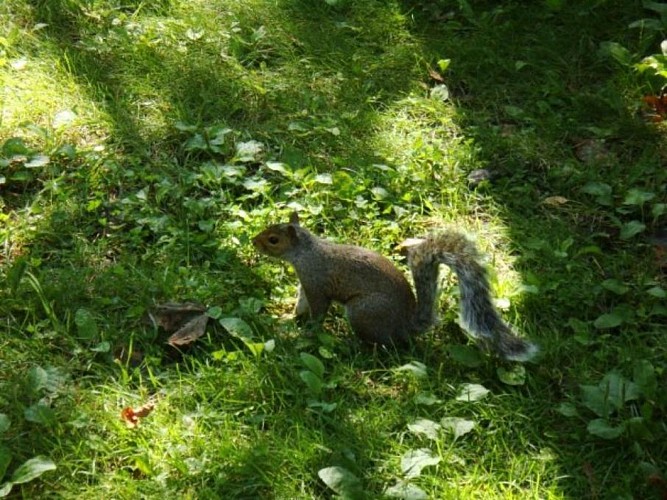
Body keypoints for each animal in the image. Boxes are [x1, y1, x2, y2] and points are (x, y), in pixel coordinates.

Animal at [253, 209, 540, 362]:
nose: (253, 242)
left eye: (274, 239)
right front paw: (287, 318)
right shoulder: (306, 283)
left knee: (382, 346)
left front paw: (304, 333)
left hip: (363, 311)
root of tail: (405, 326)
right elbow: (301, 303)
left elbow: (317, 311)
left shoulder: (317, 283)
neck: (305, 252)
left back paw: (355, 346)